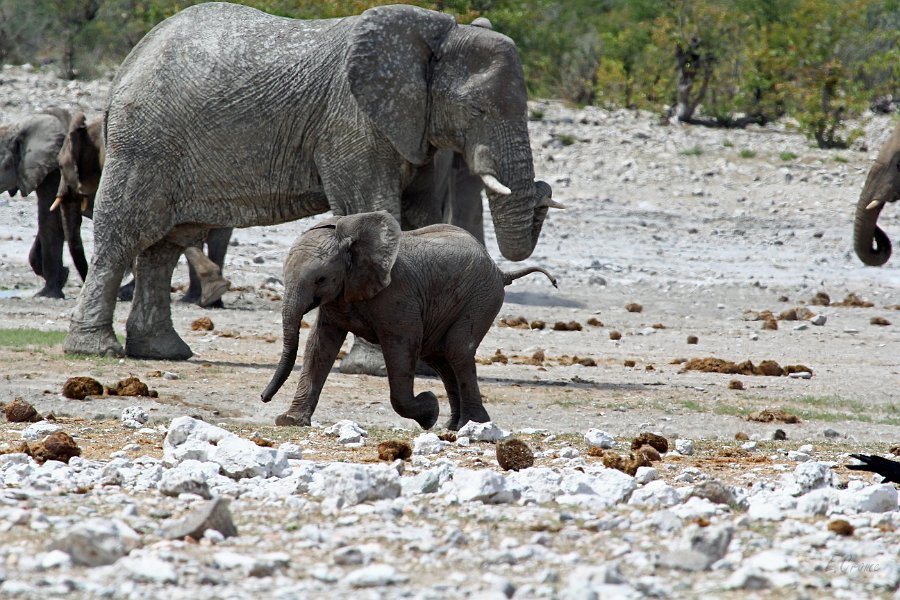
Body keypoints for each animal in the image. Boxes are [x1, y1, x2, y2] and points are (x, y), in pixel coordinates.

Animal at [258, 211, 556, 432]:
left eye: (320, 279)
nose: (263, 398)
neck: (351, 236)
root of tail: (500, 270)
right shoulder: (339, 296)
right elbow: (320, 346)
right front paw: (290, 421)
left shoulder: (397, 296)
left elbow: (401, 345)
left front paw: (429, 410)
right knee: (441, 357)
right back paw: (453, 426)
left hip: (482, 297)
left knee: (458, 350)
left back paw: (472, 425)